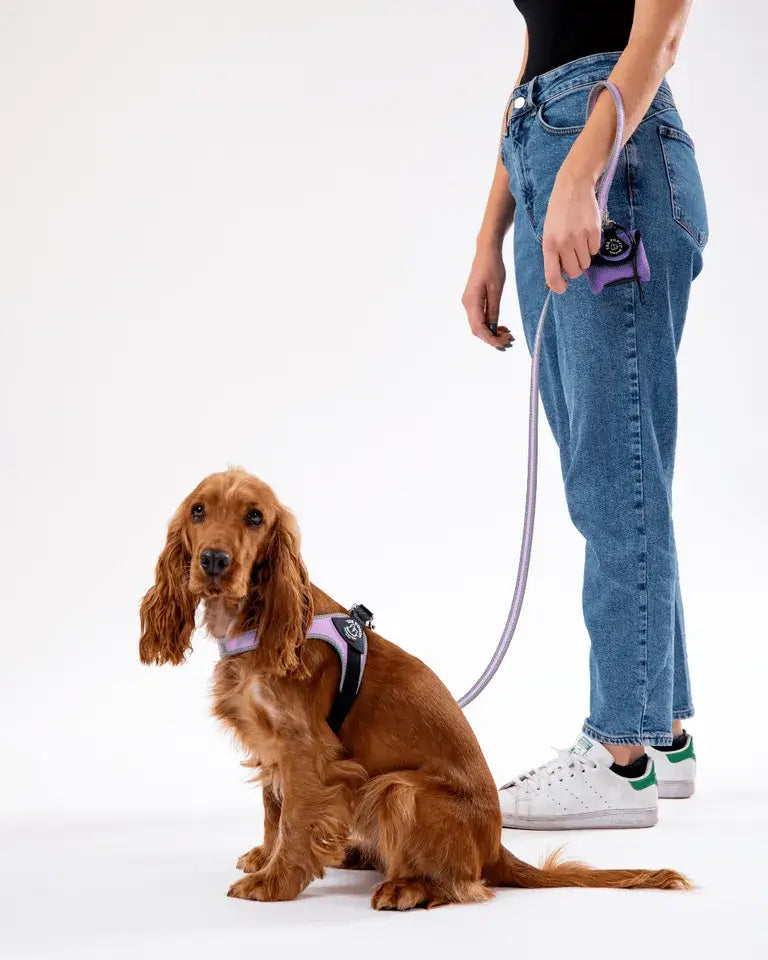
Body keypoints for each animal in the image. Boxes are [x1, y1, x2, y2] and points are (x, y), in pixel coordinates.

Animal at [140, 468, 688, 912]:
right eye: (198, 510)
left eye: (255, 517)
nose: (214, 561)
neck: (258, 619)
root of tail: (495, 847)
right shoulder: (270, 744)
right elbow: (274, 810)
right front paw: (265, 857)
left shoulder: (306, 750)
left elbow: (293, 817)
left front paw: (274, 880)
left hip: (397, 789)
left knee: (464, 884)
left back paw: (406, 888)